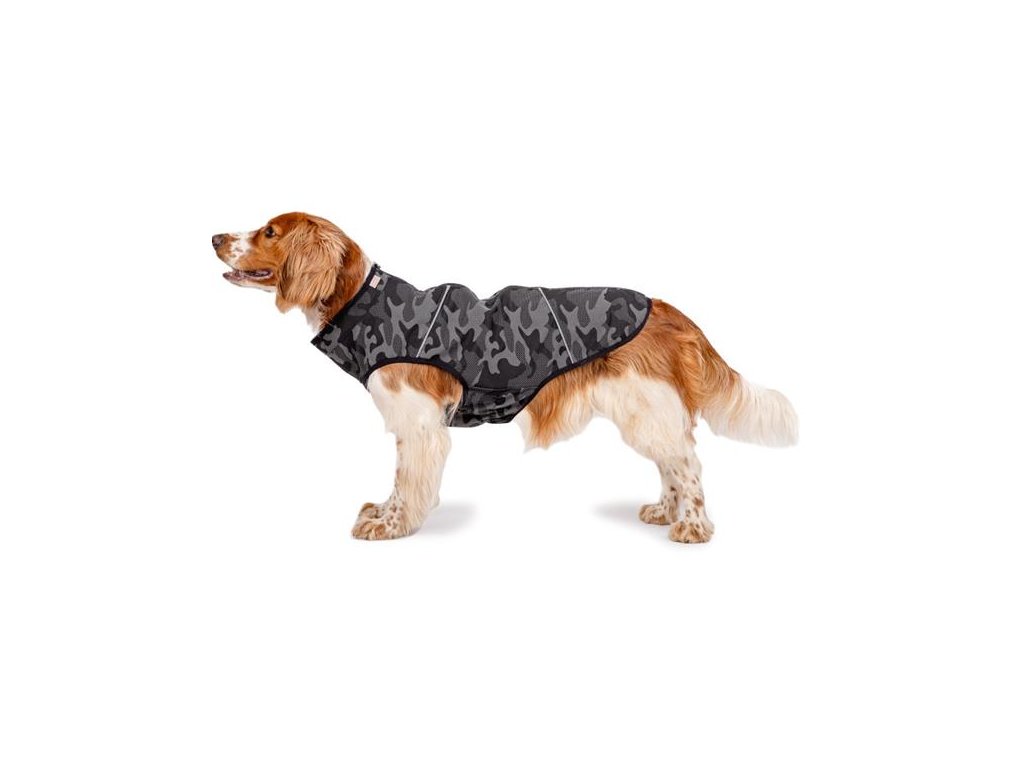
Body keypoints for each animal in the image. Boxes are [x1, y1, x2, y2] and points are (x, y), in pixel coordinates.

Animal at [213, 212, 797, 542]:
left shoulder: (418, 422)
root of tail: (667, 309)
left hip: (644, 407)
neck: (363, 300)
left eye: (269, 231)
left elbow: (407, 480)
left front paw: (391, 524)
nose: (216, 235)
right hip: (646, 410)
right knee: (673, 464)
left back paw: (693, 526)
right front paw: (384, 513)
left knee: (688, 464)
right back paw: (664, 511)